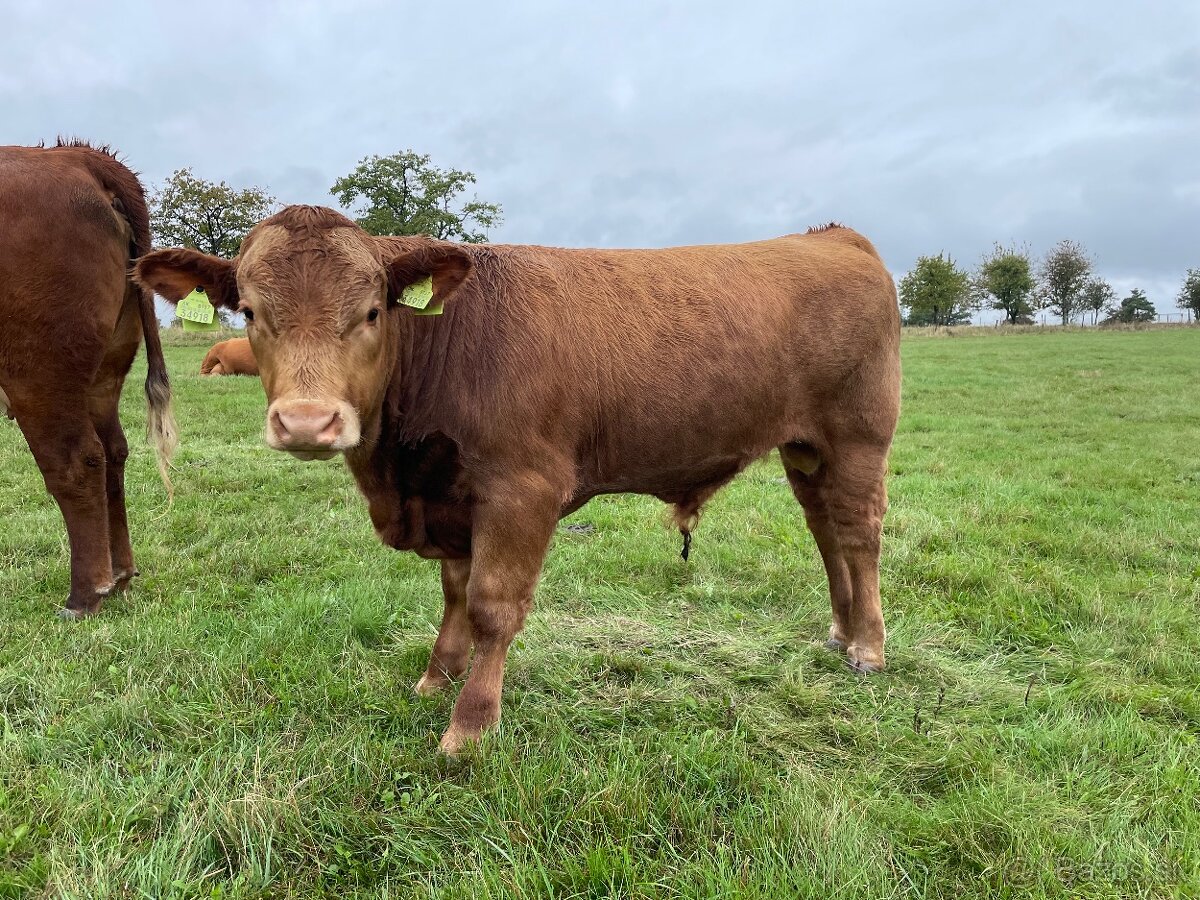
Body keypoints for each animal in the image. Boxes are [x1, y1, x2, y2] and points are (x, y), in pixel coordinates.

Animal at [0, 141, 176, 619]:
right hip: (104, 371)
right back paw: (120, 575)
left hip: (39, 371)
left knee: (77, 461)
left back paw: (84, 595)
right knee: (113, 451)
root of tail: (78, 156)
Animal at [136, 204, 902, 753]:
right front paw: (435, 676)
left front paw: (470, 724)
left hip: (859, 437)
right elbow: (453, 592)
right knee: (825, 531)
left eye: (372, 311)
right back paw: (839, 633)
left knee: (858, 534)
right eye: (251, 312)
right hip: (805, 450)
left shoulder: (520, 491)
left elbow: (492, 606)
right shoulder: (450, 497)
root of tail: (834, 237)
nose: (305, 422)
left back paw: (868, 646)